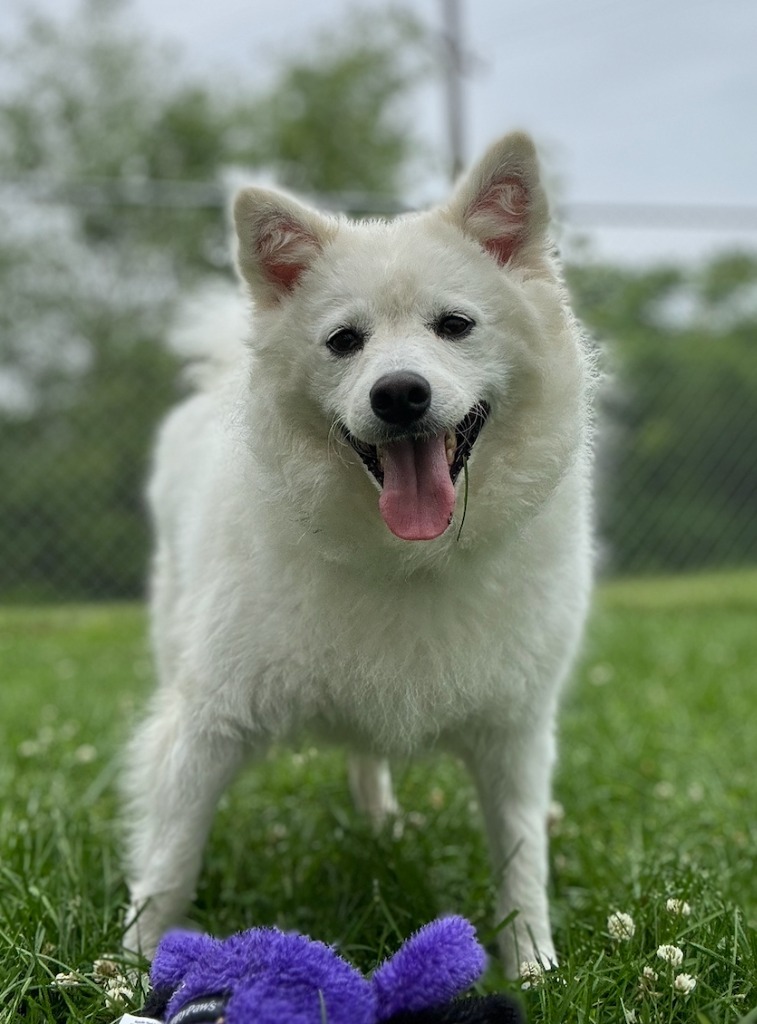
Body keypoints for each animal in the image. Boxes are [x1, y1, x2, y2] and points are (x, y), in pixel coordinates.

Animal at [122, 130, 598, 974]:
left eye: (454, 325)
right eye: (344, 342)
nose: (399, 394)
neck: (405, 558)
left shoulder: (514, 735)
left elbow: (521, 866)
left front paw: (534, 969)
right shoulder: (207, 725)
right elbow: (170, 864)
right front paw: (128, 973)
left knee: (367, 760)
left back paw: (379, 821)